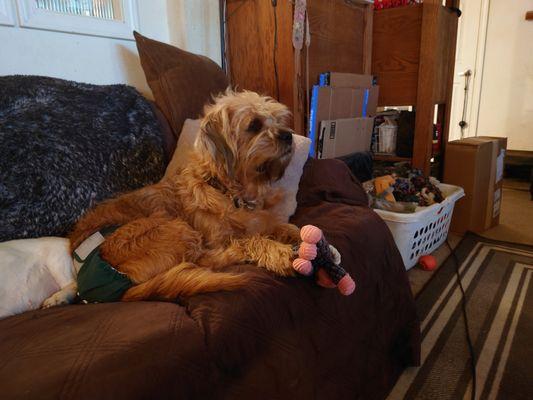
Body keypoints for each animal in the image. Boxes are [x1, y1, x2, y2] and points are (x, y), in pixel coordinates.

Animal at [67, 90, 302, 302]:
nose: (288, 135)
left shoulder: (258, 220)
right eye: (254, 125)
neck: (225, 189)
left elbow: (279, 226)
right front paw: (278, 252)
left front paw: (295, 233)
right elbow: (252, 239)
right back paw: (237, 252)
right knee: (204, 261)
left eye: (278, 119)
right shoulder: (219, 238)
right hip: (172, 227)